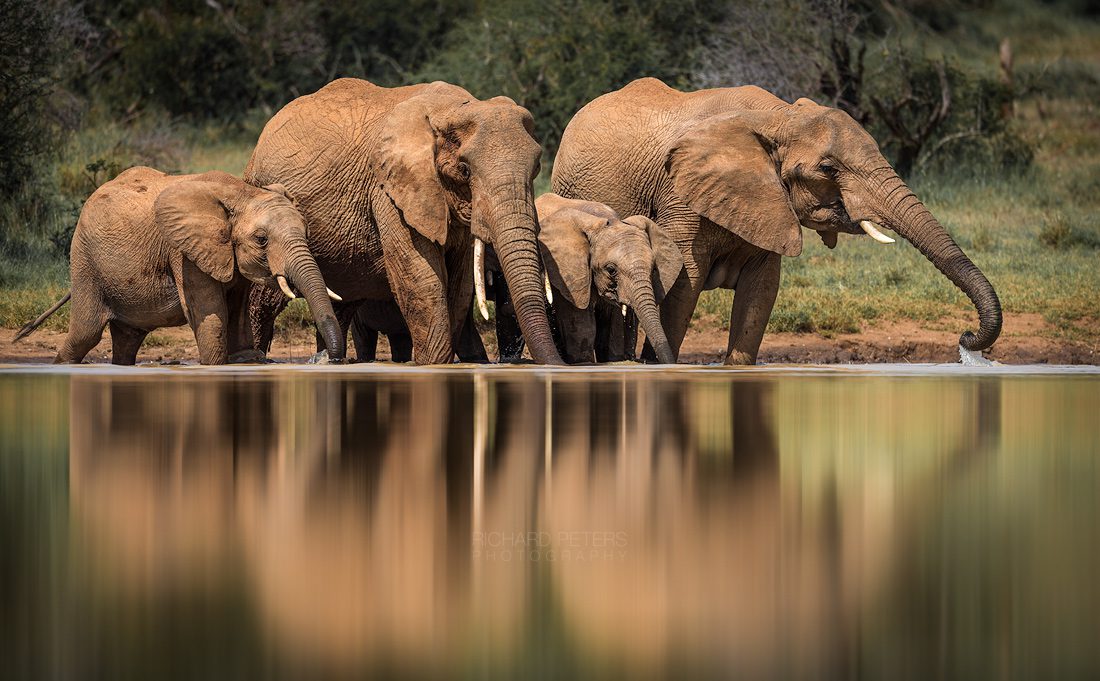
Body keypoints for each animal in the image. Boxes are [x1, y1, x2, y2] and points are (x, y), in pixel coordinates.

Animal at [12, 168, 343, 365]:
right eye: (261, 240)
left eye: (307, 233)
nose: (332, 358)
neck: (242, 191)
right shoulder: (183, 253)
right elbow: (213, 314)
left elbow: (237, 312)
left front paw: (248, 359)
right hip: (84, 260)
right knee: (86, 334)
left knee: (127, 340)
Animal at [245, 79, 563, 365]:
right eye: (464, 170)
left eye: (536, 168)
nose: (557, 364)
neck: (451, 108)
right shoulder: (388, 190)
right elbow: (422, 279)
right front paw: (432, 365)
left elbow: (459, 285)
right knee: (262, 302)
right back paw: (258, 359)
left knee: (341, 304)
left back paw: (330, 360)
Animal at [477, 194, 682, 365]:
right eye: (611, 270)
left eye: (653, 269)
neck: (607, 222)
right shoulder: (564, 274)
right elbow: (582, 326)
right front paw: (584, 363)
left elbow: (611, 330)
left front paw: (613, 361)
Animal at [554, 77, 1003, 365]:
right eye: (828, 168)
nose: (966, 338)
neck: (778, 116)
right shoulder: (679, 195)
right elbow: (684, 286)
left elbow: (762, 290)